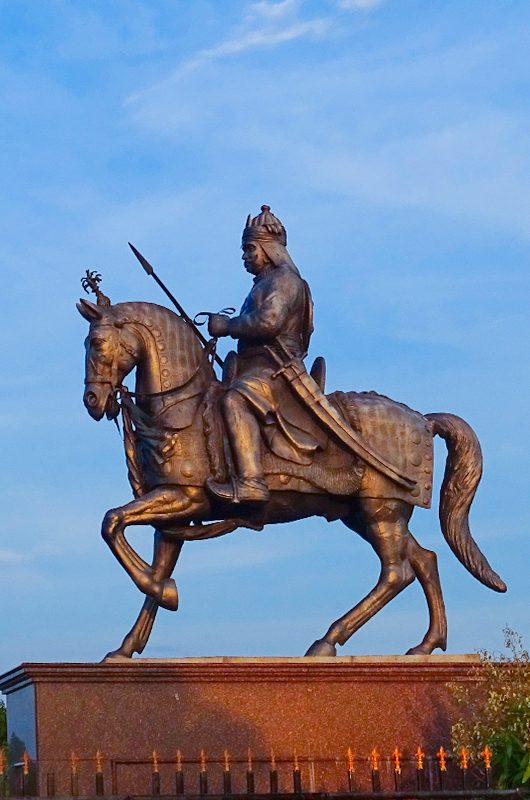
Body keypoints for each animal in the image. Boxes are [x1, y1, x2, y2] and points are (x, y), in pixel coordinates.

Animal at [77, 296, 504, 660]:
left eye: (96, 342)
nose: (93, 402)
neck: (182, 409)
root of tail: (424, 420)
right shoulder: (175, 514)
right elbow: (152, 563)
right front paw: (127, 645)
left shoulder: (185, 497)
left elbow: (111, 524)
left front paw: (167, 595)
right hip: (368, 515)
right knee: (424, 561)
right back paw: (425, 645)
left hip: (381, 511)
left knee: (397, 573)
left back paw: (327, 642)